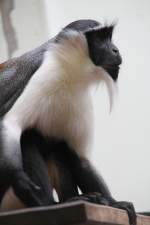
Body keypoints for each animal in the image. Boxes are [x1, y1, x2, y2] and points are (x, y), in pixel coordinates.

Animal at [0, 19, 136, 225]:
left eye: (109, 37)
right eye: (99, 38)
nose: (115, 50)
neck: (70, 71)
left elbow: (80, 158)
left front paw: (115, 203)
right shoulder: (43, 73)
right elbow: (12, 125)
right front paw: (21, 181)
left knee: (60, 147)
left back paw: (75, 199)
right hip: (9, 198)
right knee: (28, 137)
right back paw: (49, 204)